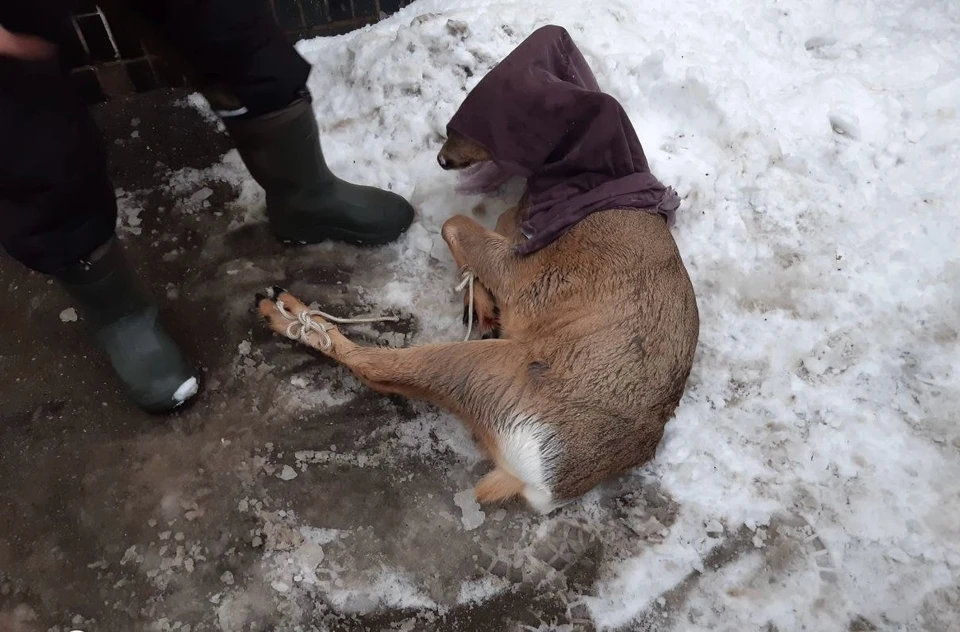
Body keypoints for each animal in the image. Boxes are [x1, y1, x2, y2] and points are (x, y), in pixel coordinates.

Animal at [258, 24, 700, 512]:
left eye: (464, 125)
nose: (442, 159)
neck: (590, 185)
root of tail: (542, 482)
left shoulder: (530, 272)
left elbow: (453, 223)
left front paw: (484, 302)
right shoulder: (515, 232)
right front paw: (482, 304)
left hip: (487, 369)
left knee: (376, 367)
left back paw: (283, 311)